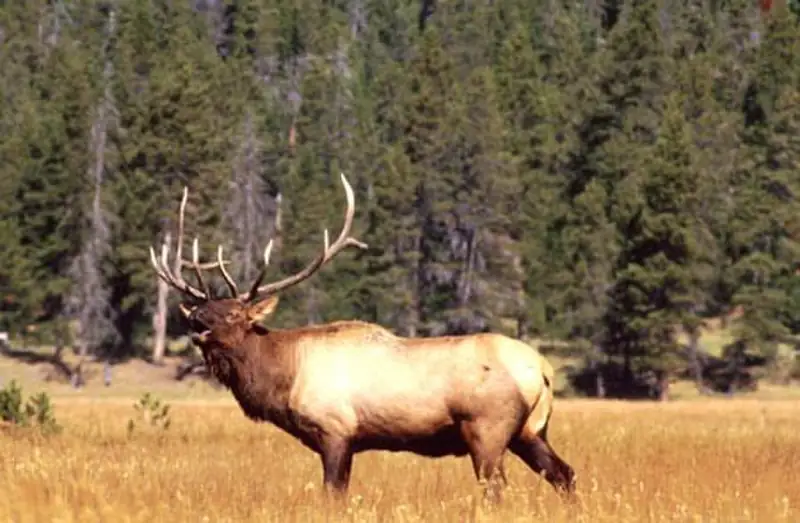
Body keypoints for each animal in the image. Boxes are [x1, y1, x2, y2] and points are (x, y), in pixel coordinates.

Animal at [149, 173, 576, 501]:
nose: (196, 321)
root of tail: (542, 368)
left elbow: (333, 495)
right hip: (529, 431)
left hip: (487, 429)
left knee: (497, 489)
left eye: (234, 313)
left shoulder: (336, 431)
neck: (283, 378)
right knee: (565, 475)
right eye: (204, 308)